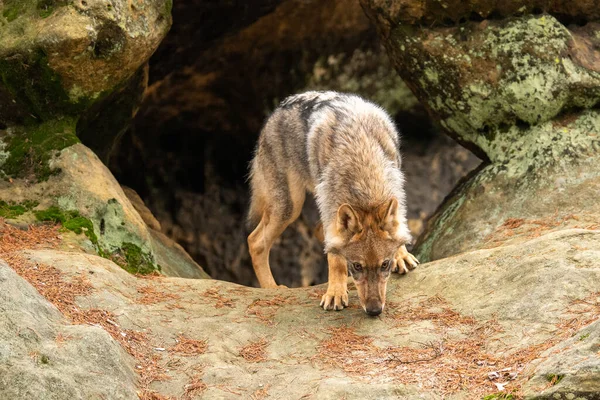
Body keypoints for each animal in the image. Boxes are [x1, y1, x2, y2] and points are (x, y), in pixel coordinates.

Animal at [246, 90, 420, 316]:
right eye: (357, 266)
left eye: (385, 265)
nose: (374, 311)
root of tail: (276, 111)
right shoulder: (330, 206)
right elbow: (336, 261)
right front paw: (336, 292)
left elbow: (398, 227)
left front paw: (401, 255)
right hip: (291, 207)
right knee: (255, 241)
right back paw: (271, 288)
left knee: (316, 232)